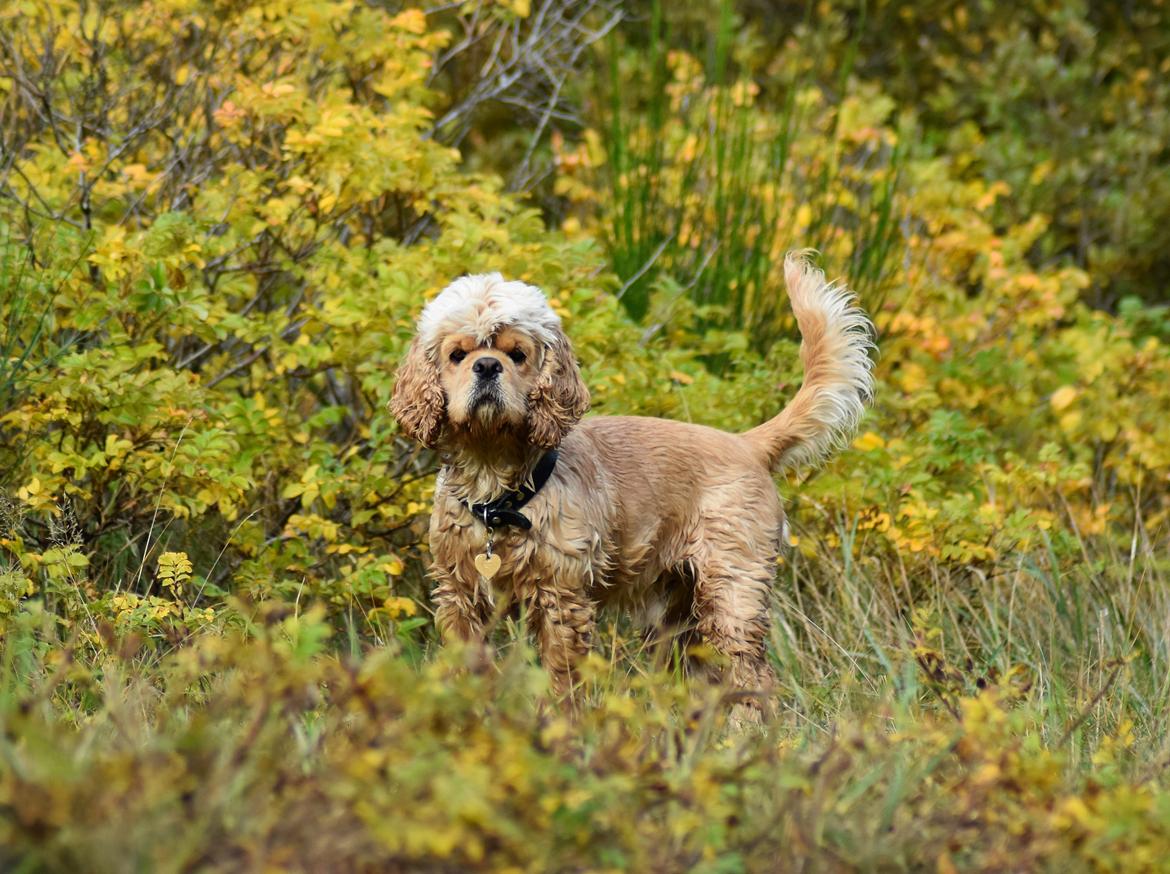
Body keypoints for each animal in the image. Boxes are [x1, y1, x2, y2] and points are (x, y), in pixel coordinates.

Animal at [388, 252, 875, 702]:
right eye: (456, 354)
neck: (498, 489)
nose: (487, 366)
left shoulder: (562, 600)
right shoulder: (459, 596)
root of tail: (747, 443)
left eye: (517, 354)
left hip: (733, 592)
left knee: (753, 678)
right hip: (676, 616)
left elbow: (561, 683)